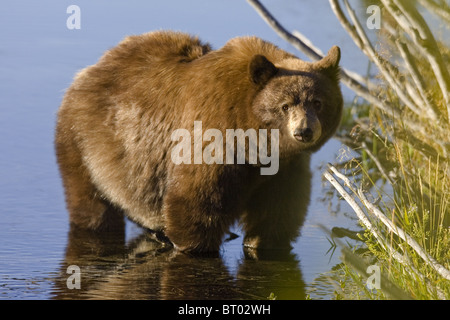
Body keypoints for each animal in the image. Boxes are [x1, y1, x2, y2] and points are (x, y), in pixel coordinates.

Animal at [55, 31, 342, 254]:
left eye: (318, 102)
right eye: (285, 105)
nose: (304, 131)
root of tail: (90, 69)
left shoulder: (285, 168)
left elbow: (278, 213)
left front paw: (262, 242)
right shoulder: (212, 137)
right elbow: (196, 203)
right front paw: (195, 245)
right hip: (85, 142)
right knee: (93, 206)